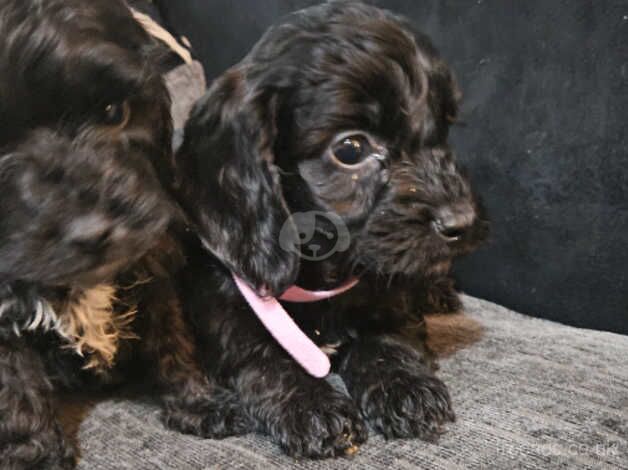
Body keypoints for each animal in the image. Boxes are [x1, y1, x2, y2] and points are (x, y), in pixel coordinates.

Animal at [0, 1, 245, 468]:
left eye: (114, 112)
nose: (96, 229)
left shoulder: (153, 261)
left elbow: (172, 338)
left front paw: (198, 402)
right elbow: (15, 387)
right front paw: (35, 453)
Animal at [174, 0, 488, 458]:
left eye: (443, 129)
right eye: (350, 149)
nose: (462, 223)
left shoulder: (385, 284)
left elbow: (388, 334)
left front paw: (404, 385)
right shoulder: (223, 303)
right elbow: (259, 356)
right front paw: (310, 403)